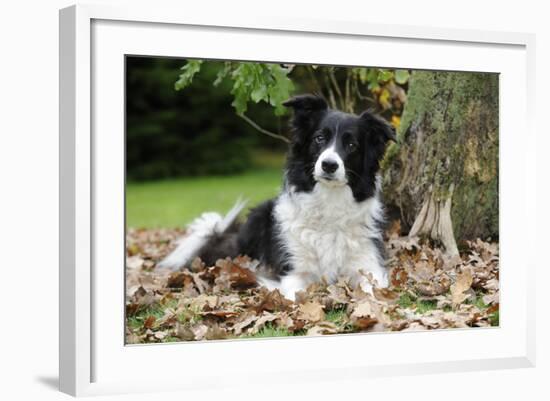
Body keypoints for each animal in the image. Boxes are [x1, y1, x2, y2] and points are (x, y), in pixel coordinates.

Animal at [158, 94, 396, 300]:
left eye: (352, 145)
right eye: (319, 138)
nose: (329, 165)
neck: (329, 203)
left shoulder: (368, 266)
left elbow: (372, 292)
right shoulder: (293, 272)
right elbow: (294, 297)